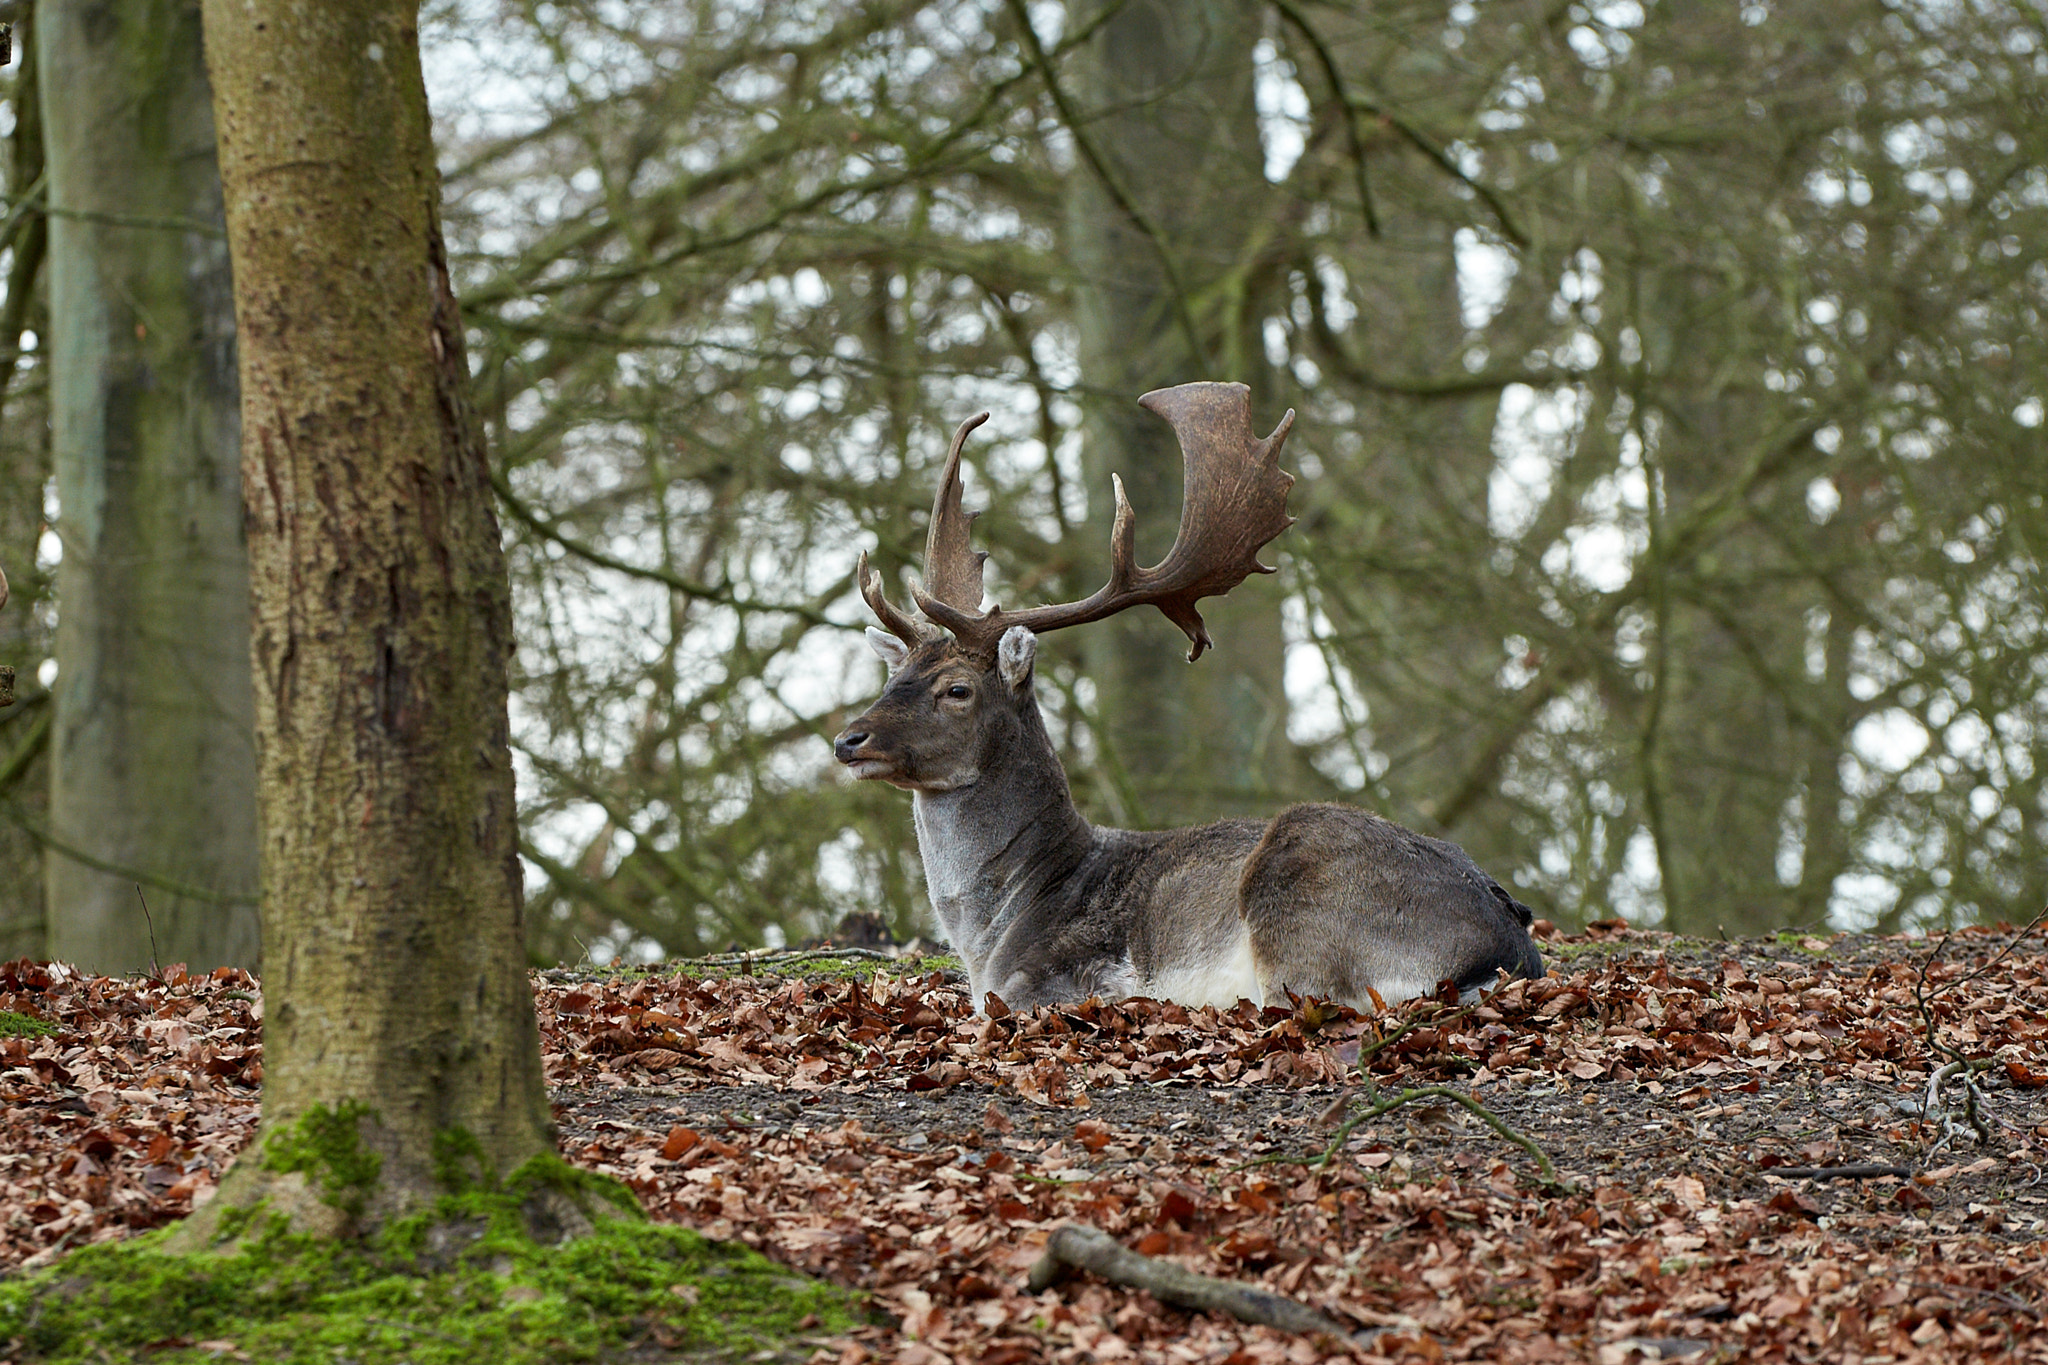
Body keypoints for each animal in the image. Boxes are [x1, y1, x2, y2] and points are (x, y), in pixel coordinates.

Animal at [832, 382, 1544, 1014]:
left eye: (957, 689)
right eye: (891, 678)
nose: (847, 739)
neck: (991, 936)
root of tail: (1511, 948)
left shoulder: (1067, 978)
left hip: (1301, 900)